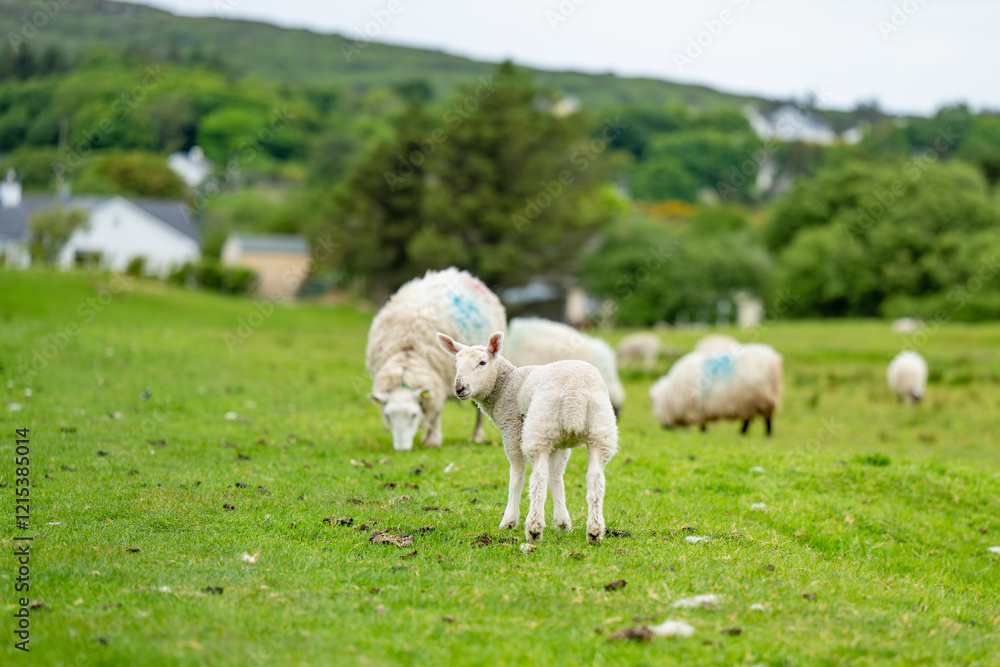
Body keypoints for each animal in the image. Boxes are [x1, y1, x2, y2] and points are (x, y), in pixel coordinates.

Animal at [366, 268, 506, 451]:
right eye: (388, 415)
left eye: (413, 415)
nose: (402, 450)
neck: (407, 355)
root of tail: (457, 272)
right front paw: (429, 436)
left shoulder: (442, 379)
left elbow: (436, 412)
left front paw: (433, 440)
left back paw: (476, 436)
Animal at [437, 331, 619, 545]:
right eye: (456, 361)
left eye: (482, 362)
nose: (459, 388)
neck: (505, 385)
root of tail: (576, 394)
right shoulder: (561, 443)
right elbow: (557, 476)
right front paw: (563, 522)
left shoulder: (512, 428)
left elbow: (517, 476)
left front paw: (509, 521)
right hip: (600, 430)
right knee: (595, 477)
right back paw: (595, 531)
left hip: (539, 428)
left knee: (539, 477)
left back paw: (534, 528)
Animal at [650, 343, 783, 436]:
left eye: (656, 403)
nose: (663, 427)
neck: (670, 394)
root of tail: (774, 360)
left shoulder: (697, 410)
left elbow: (702, 426)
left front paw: (704, 434)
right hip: (756, 399)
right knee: (754, 418)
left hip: (758, 398)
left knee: (763, 419)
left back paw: (761, 435)